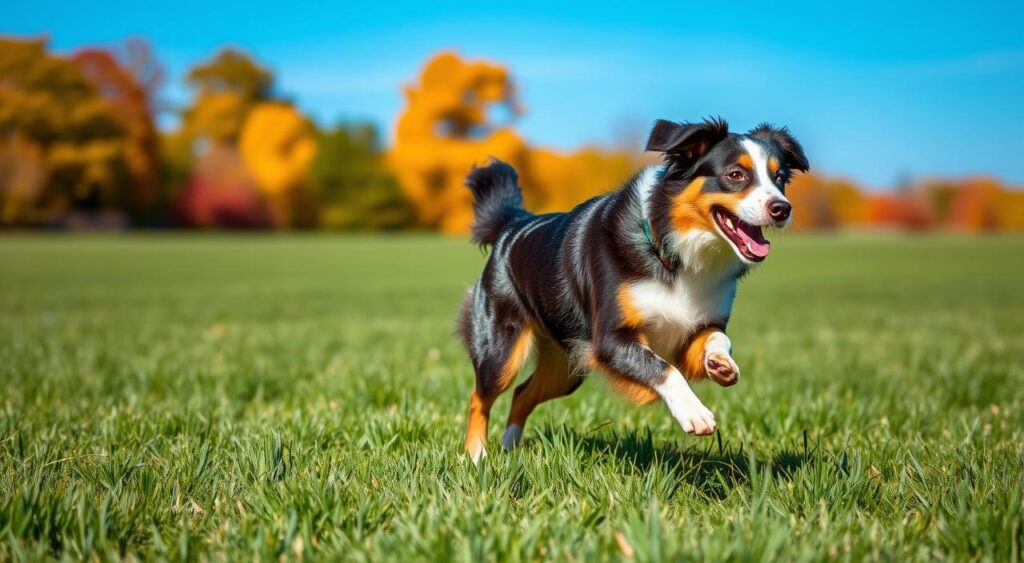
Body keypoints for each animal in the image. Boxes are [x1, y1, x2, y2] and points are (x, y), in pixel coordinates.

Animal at [458, 118, 806, 462]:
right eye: (735, 175)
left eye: (779, 179)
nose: (783, 208)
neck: (674, 249)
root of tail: (513, 223)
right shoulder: (611, 340)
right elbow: (663, 368)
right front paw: (693, 412)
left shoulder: (698, 327)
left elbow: (717, 339)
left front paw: (719, 363)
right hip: (501, 350)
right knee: (479, 397)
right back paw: (478, 455)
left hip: (566, 368)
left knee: (522, 394)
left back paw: (510, 446)